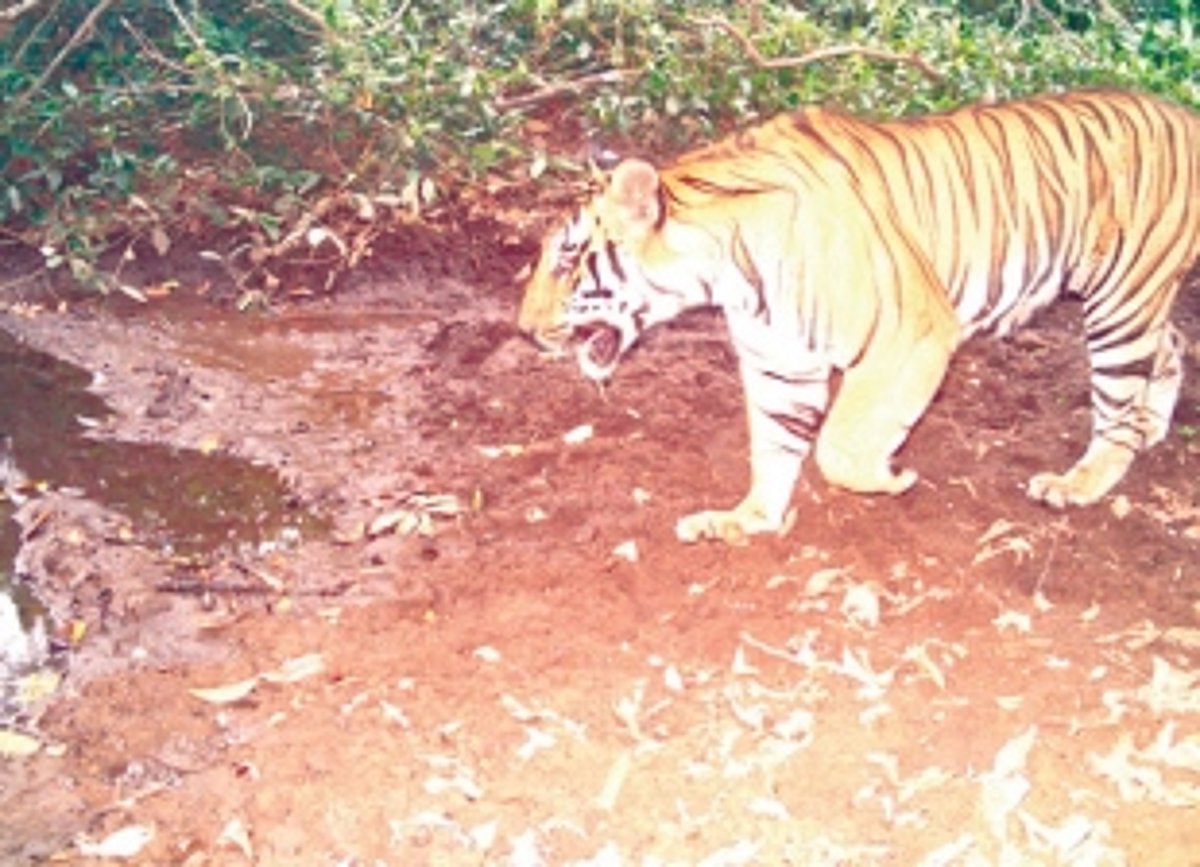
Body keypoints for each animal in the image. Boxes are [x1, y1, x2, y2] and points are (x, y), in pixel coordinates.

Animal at [517, 89, 1200, 544]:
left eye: (569, 258)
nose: (522, 330)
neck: (726, 270)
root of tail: (1181, 114)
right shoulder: (780, 361)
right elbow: (775, 446)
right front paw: (748, 519)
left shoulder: (913, 336)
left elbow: (837, 445)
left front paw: (890, 478)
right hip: (1129, 298)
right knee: (1171, 342)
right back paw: (1148, 428)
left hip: (1121, 298)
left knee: (1119, 398)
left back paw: (1079, 481)